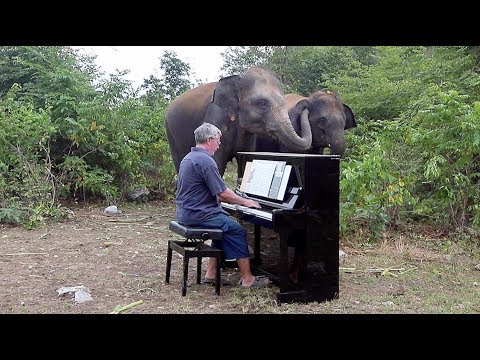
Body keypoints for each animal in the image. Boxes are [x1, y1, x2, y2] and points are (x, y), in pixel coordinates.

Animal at [165, 67, 314, 176]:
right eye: (263, 103)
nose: (305, 104)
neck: (237, 79)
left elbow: (247, 160)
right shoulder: (215, 116)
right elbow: (216, 163)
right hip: (171, 134)